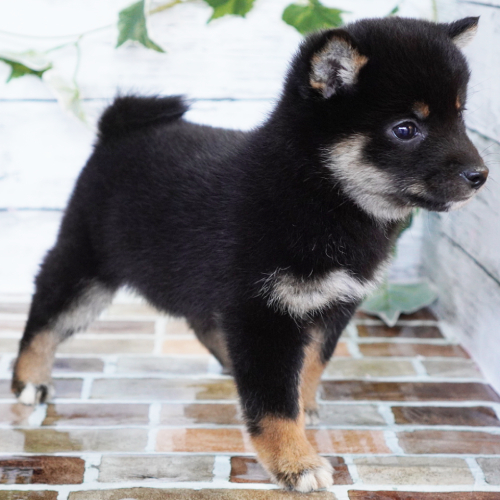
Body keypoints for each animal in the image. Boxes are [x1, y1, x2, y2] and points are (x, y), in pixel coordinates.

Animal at [13, 16, 486, 492]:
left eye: (461, 116)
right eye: (405, 128)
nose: (480, 174)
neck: (318, 193)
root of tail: (116, 130)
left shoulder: (330, 304)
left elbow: (309, 367)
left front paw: (303, 409)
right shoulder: (264, 311)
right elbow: (273, 402)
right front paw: (295, 462)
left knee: (202, 321)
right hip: (87, 264)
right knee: (46, 315)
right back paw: (29, 379)